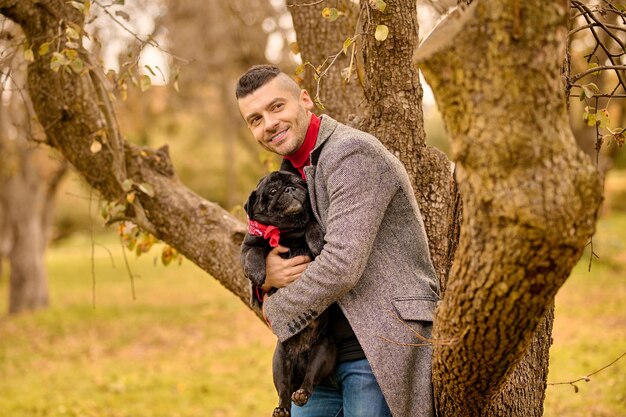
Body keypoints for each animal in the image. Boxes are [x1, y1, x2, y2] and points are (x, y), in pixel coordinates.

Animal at [240, 169, 336, 416]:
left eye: (296, 182)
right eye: (272, 191)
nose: (290, 188)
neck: (286, 231)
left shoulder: (308, 224)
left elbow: (311, 224)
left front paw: (316, 241)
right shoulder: (248, 245)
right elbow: (253, 252)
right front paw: (257, 273)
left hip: (323, 354)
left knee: (309, 380)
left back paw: (301, 393)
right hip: (280, 362)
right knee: (284, 391)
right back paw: (282, 409)